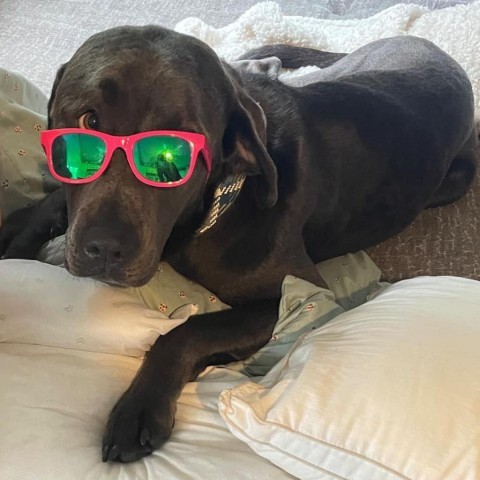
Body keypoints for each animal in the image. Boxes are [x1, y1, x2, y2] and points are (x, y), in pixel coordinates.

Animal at [0, 27, 476, 462]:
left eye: (174, 155)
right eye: (88, 122)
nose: (104, 250)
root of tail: (428, 46)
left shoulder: (299, 299)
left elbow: (189, 330)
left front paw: (140, 407)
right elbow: (53, 201)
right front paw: (18, 230)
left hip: (452, 182)